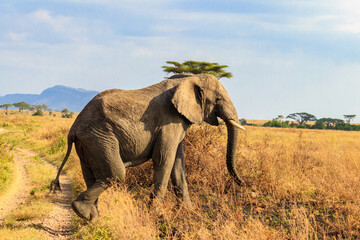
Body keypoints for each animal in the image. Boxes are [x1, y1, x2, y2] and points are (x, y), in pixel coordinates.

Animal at [50, 73, 245, 221]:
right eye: (218, 99)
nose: (242, 183)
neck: (189, 78)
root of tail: (73, 128)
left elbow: (178, 167)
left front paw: (189, 212)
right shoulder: (169, 122)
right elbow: (164, 161)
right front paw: (155, 216)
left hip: (88, 143)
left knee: (92, 176)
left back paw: (92, 219)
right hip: (100, 138)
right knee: (116, 173)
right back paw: (81, 211)